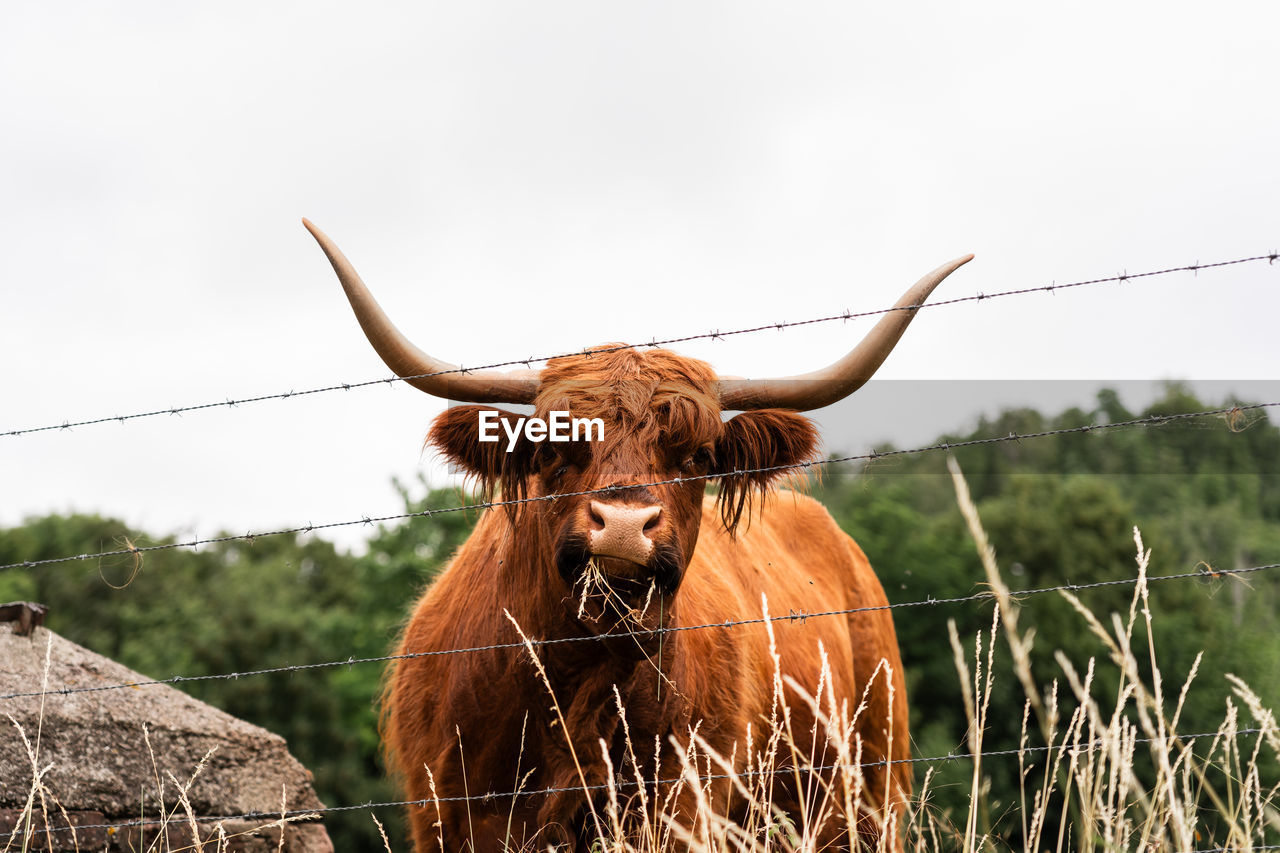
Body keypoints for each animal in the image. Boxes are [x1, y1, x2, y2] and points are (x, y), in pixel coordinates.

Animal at [303, 219, 970, 852]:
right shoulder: (451, 813)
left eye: (697, 455)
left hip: (873, 792)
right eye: (553, 444)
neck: (578, 681)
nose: (624, 525)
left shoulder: (683, 803)